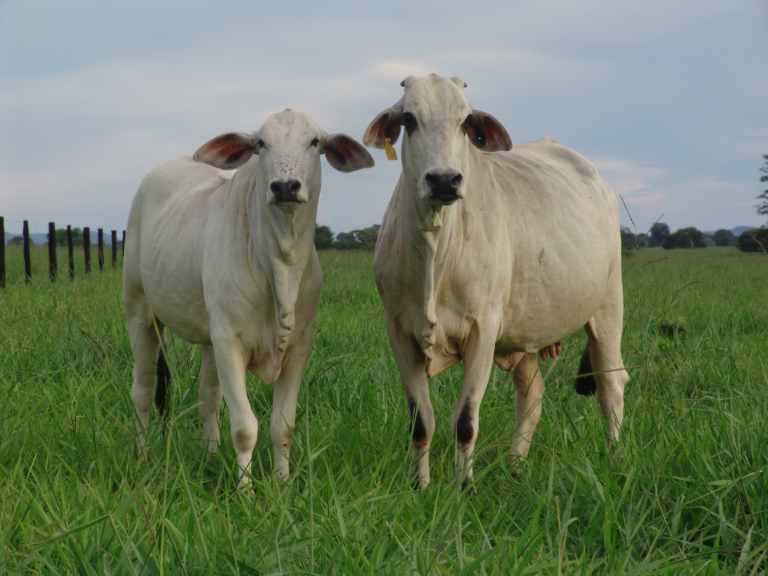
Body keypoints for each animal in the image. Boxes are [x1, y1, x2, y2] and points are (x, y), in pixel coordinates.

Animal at [124, 108, 376, 486]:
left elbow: (282, 426)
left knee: (208, 397)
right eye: (260, 143)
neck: (281, 266)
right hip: (140, 312)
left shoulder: (298, 347)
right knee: (142, 389)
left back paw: (212, 456)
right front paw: (247, 489)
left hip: (208, 336)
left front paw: (282, 483)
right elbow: (244, 428)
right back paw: (142, 457)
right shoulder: (230, 342)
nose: (285, 186)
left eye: (314, 141)